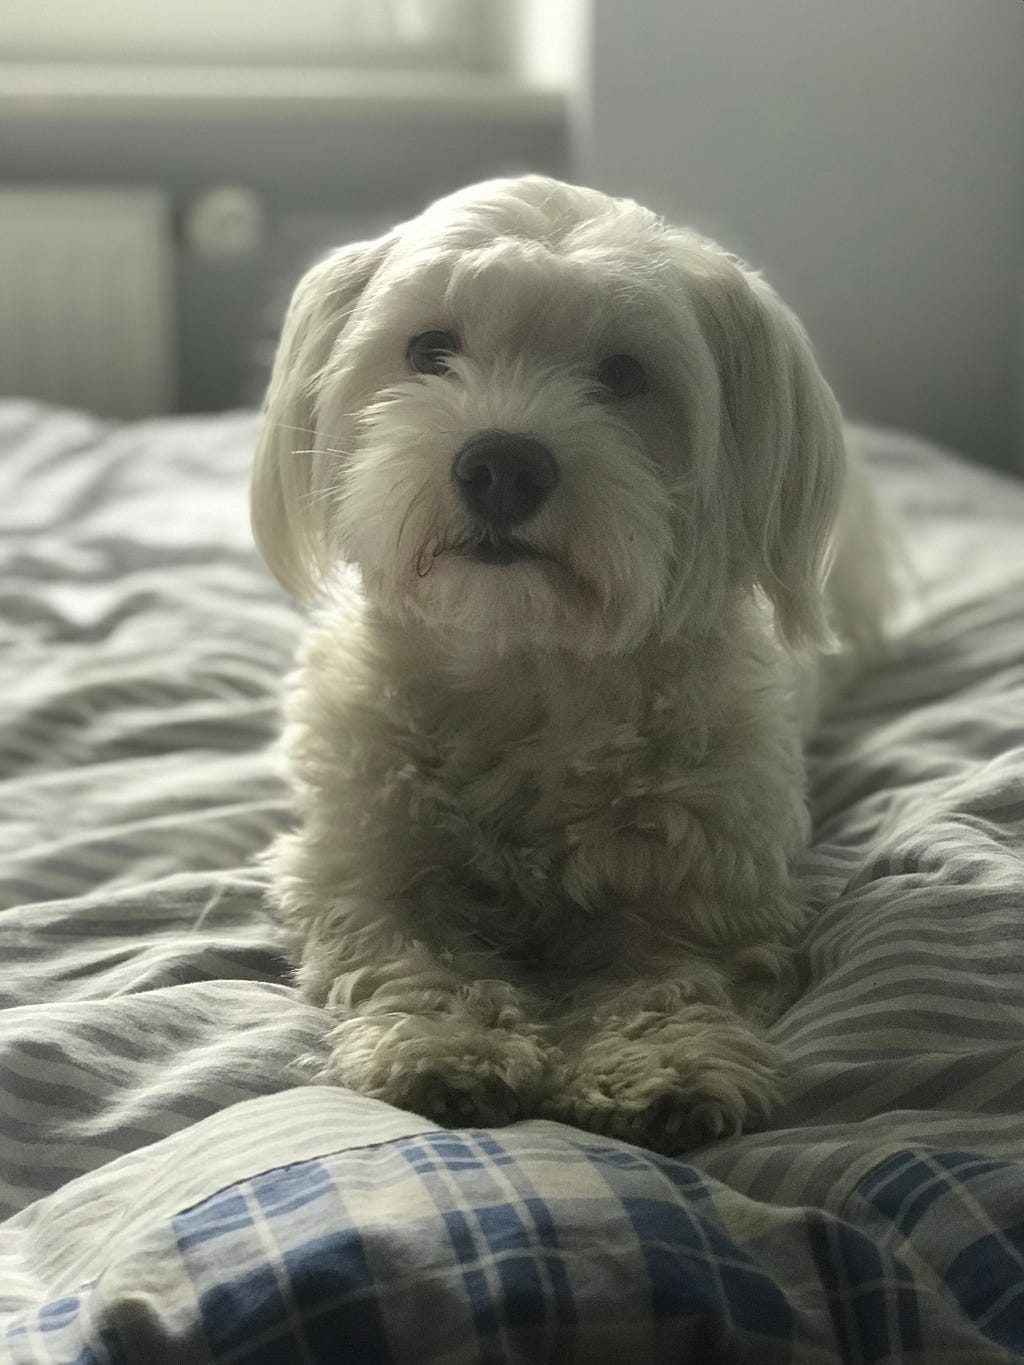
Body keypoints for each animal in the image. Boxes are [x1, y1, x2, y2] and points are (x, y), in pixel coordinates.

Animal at [252, 170, 895, 1152]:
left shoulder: (702, 890)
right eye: (430, 348)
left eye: (624, 374)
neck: (527, 667)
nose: (500, 465)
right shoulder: (366, 864)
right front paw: (444, 1043)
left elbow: (670, 977)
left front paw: (663, 1064)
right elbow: (412, 950)